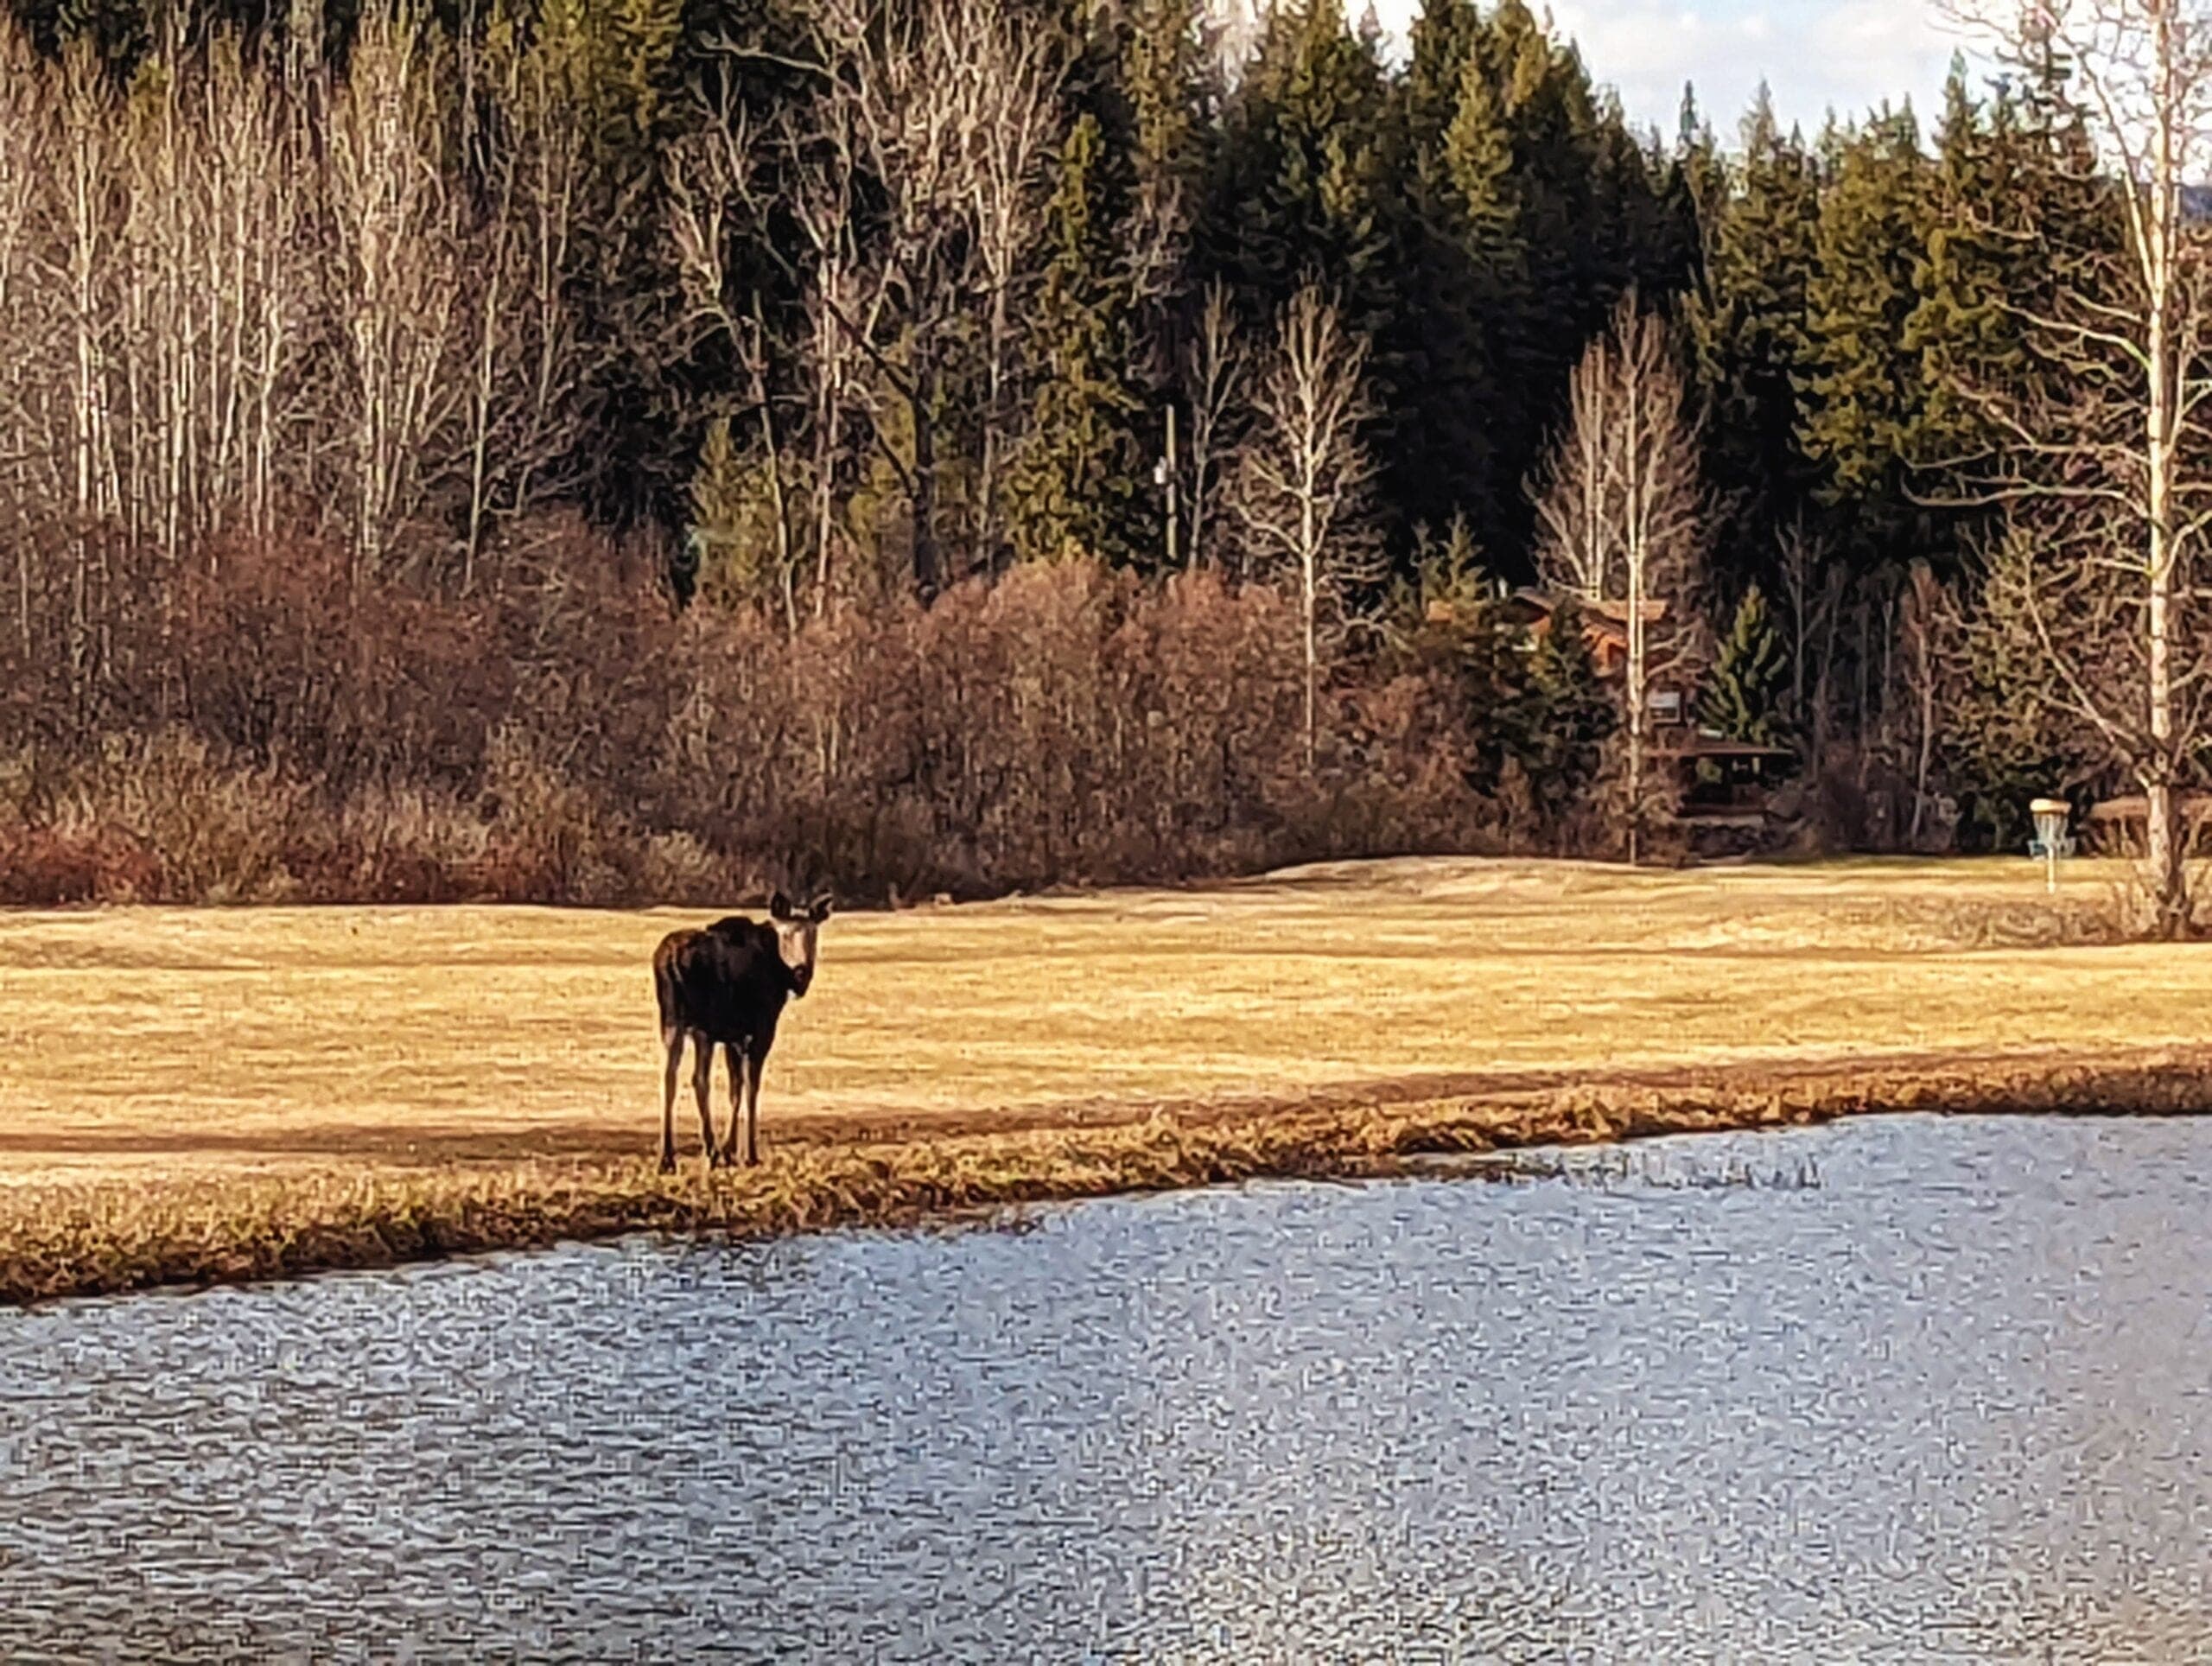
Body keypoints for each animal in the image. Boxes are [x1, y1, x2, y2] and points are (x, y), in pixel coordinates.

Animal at [652, 891, 832, 1172]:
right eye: (787, 935)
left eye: (813, 934)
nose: (802, 971)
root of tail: (669, 958)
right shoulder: (760, 1029)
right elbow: (750, 1086)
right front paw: (749, 1153)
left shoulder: (731, 1036)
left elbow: (734, 1087)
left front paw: (729, 1150)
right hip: (701, 1024)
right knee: (697, 1078)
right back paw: (705, 1149)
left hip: (674, 1020)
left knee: (673, 1076)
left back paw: (671, 1156)